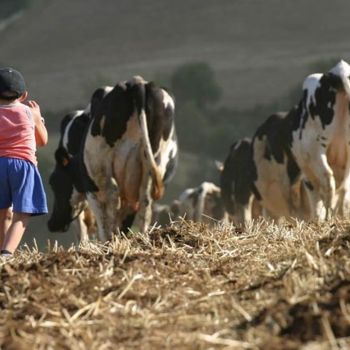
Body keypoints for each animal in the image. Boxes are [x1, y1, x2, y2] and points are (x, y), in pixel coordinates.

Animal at [79, 76, 178, 241]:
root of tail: (137, 82)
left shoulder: (90, 187)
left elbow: (102, 217)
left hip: (101, 163)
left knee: (113, 195)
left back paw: (111, 239)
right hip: (153, 161)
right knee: (145, 201)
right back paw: (143, 236)